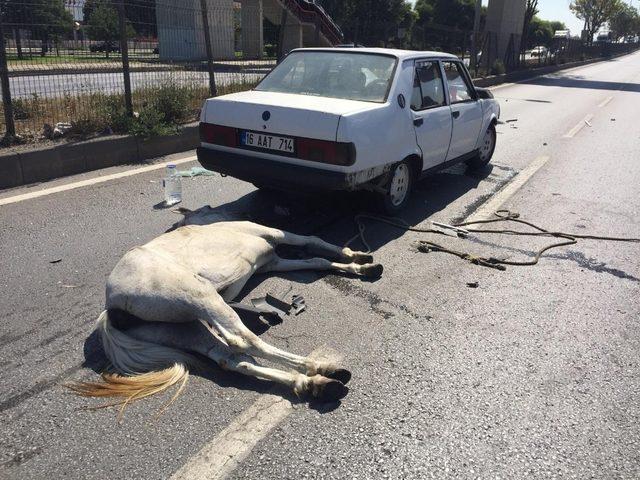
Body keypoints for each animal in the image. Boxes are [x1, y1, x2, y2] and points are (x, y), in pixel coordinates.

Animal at [71, 206, 380, 408]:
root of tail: (111, 308)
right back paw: (320, 369)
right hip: (201, 298)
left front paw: (359, 267)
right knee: (243, 341)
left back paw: (316, 384)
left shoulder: (273, 262)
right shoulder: (276, 235)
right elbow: (312, 242)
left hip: (185, 327)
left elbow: (315, 261)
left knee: (230, 358)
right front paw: (358, 258)